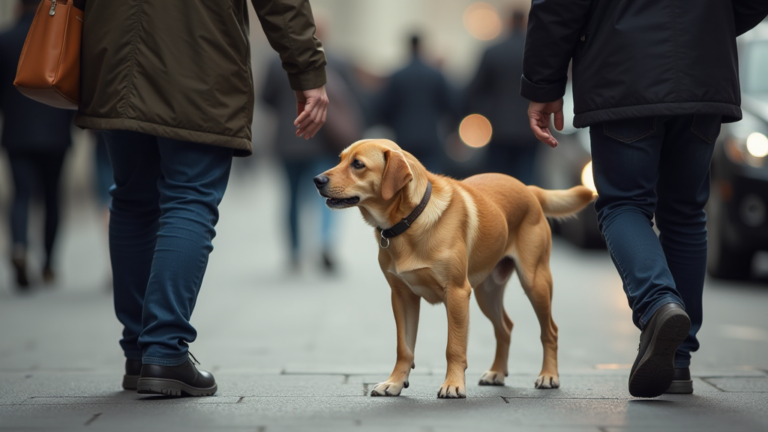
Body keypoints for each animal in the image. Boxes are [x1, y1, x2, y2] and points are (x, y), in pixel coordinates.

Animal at [316, 138, 596, 398]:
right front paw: (394, 383)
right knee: (505, 328)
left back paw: (549, 375)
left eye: (358, 164)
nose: (317, 179)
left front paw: (453, 385)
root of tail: (529, 189)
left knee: (550, 331)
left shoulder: (457, 293)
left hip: (534, 282)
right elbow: (404, 348)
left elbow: (454, 347)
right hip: (487, 293)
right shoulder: (402, 296)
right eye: (340, 159)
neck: (410, 221)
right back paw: (497, 372)